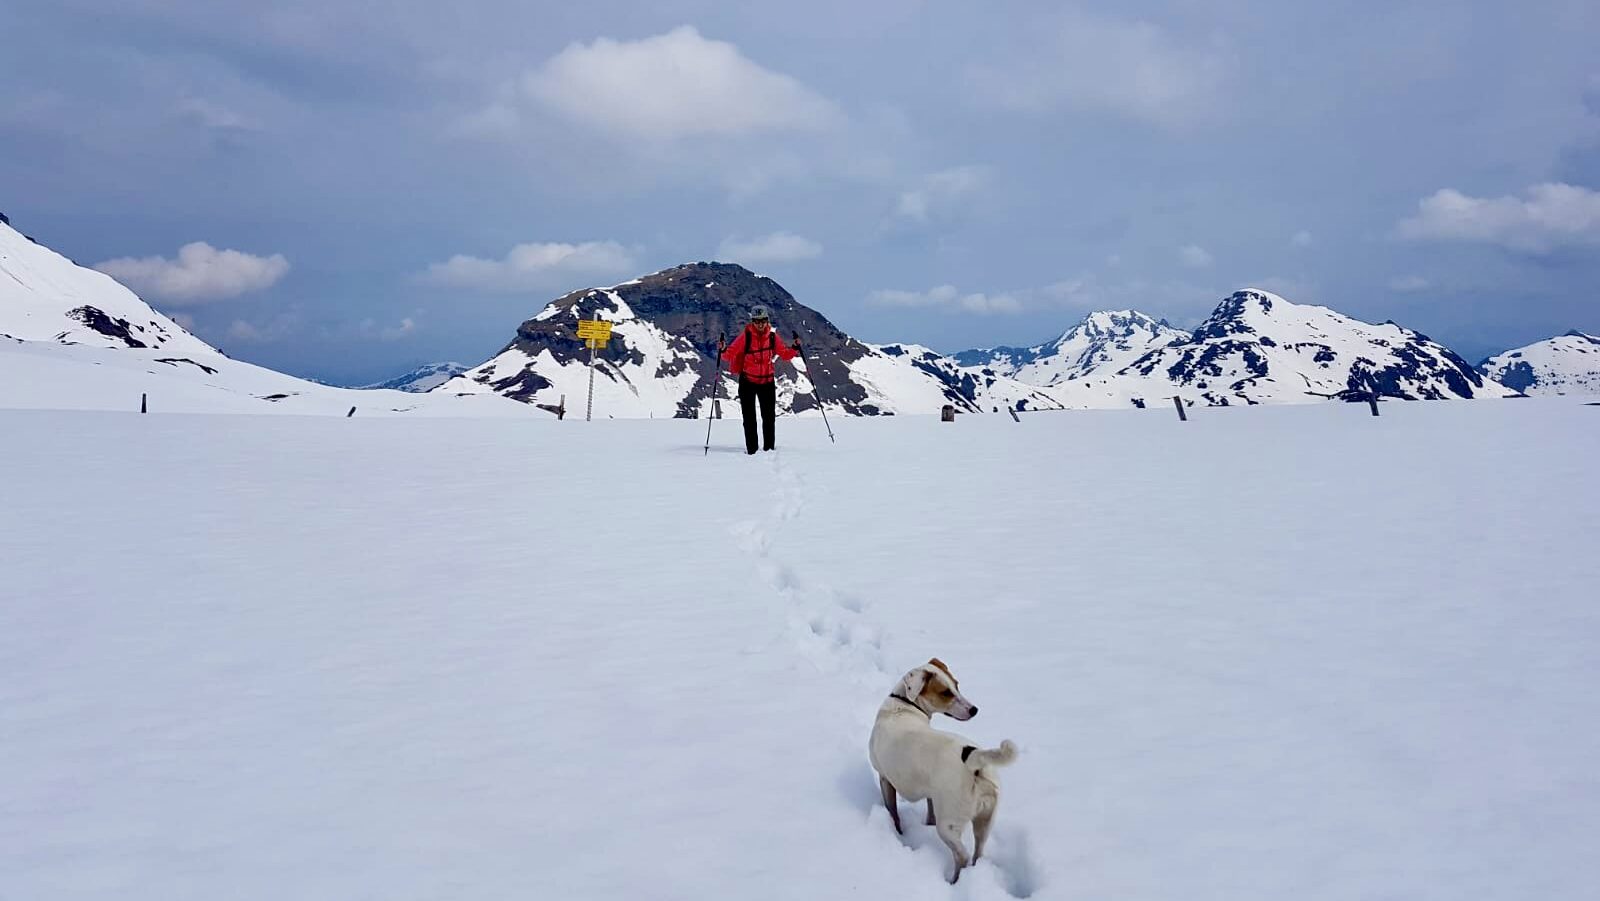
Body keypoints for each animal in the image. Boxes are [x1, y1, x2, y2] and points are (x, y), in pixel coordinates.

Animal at [870, 659, 1017, 883]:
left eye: (956, 685)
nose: (974, 710)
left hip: (948, 824)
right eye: (947, 692)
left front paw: (897, 832)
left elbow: (893, 812)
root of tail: (974, 759)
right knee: (978, 851)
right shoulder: (931, 794)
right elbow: (929, 811)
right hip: (986, 819)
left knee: (962, 855)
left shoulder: (885, 778)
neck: (903, 707)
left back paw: (954, 880)